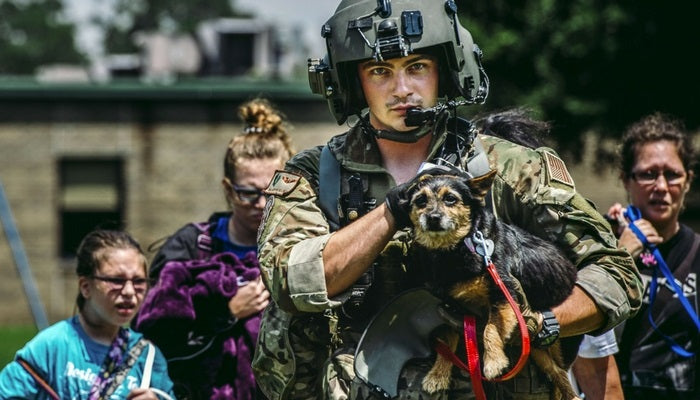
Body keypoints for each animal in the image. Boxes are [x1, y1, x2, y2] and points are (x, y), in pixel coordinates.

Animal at [410, 170, 580, 400]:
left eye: (450, 199)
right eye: (420, 200)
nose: (432, 218)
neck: (458, 249)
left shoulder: (504, 295)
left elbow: (490, 328)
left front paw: (493, 362)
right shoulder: (451, 308)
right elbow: (447, 341)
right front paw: (438, 374)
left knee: (560, 372)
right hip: (537, 350)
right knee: (555, 371)